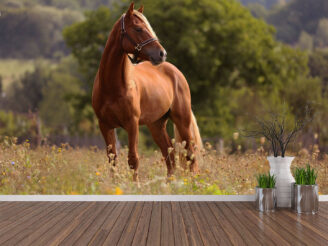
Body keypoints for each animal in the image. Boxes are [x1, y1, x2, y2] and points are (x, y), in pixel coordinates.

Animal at [91, 2, 201, 181]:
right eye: (138, 29)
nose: (162, 54)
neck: (112, 87)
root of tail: (175, 71)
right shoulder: (105, 125)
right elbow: (112, 160)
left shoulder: (132, 124)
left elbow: (133, 159)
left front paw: (135, 185)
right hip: (156, 125)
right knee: (169, 156)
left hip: (182, 121)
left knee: (190, 155)